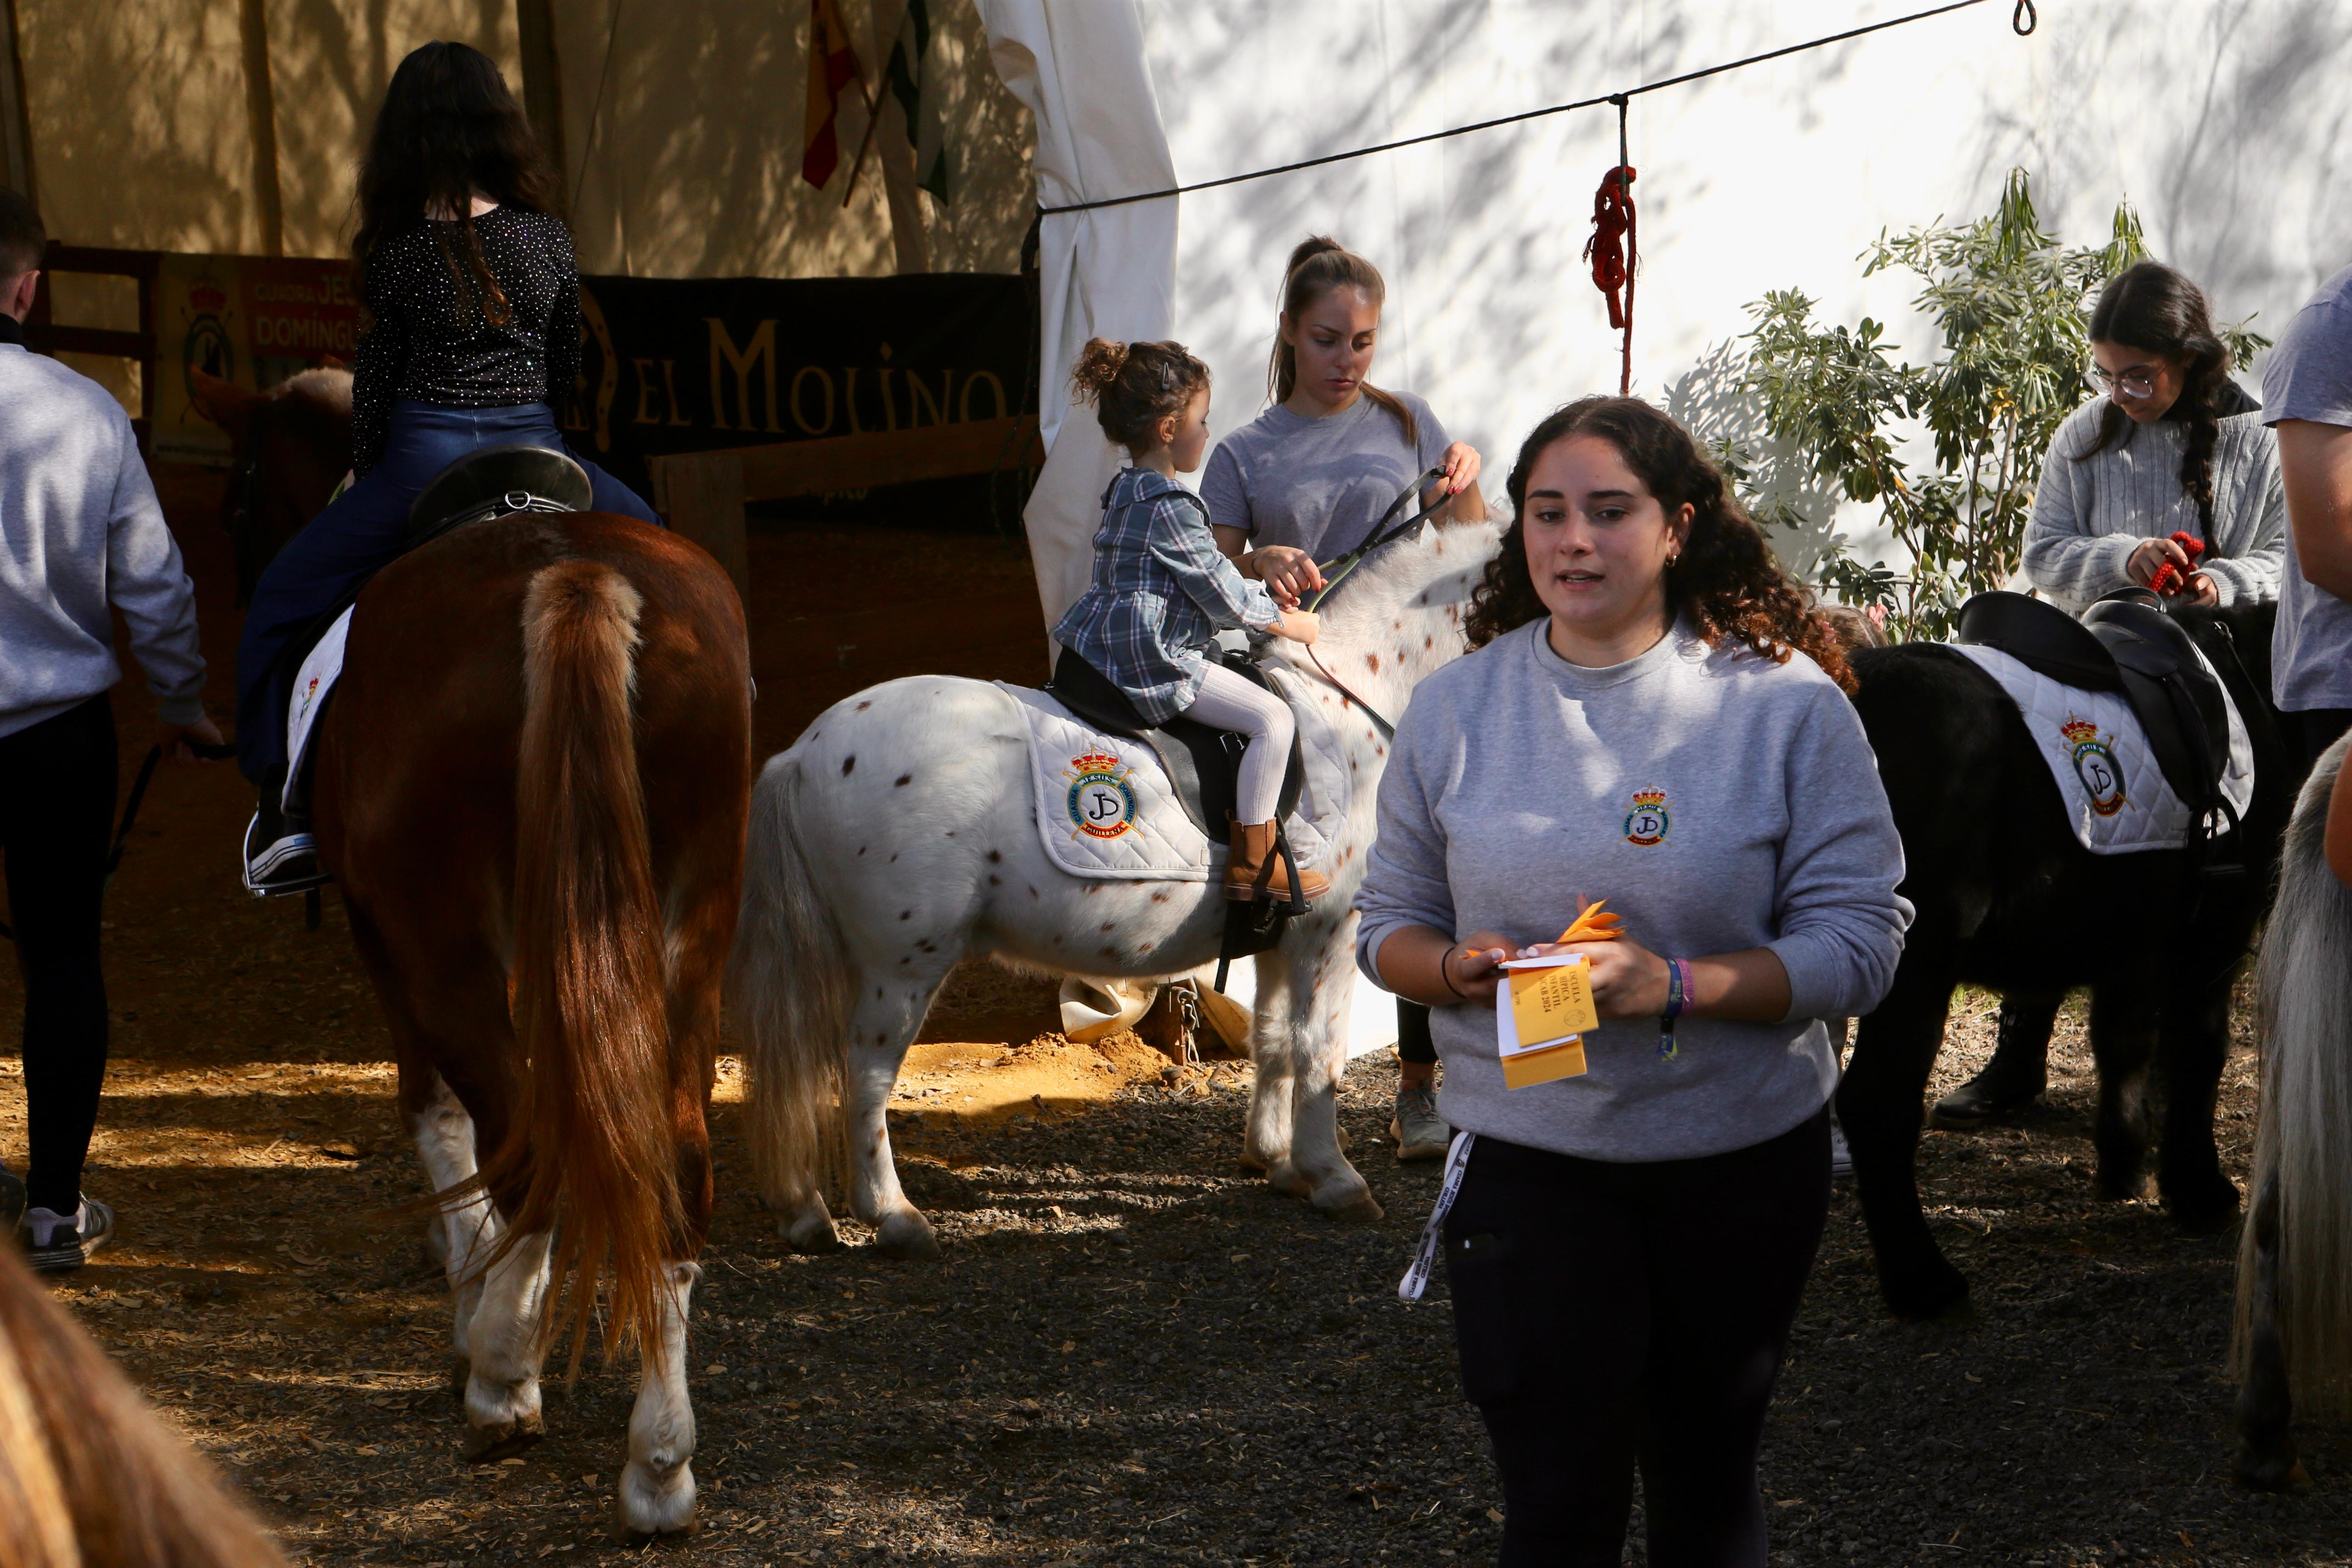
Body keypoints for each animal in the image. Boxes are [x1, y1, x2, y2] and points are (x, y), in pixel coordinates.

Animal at [211, 392, 748, 1533]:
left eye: (239, 499)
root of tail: (566, 571)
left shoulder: (384, 932)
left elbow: (434, 1112)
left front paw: (479, 1314)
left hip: (439, 934)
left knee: (523, 1140)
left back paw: (501, 1379)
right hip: (691, 921)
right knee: (673, 1161)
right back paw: (660, 1465)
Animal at [734, 522, 1505, 1260]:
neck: (1345, 706)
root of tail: (802, 754)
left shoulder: (1279, 939)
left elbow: (1273, 1040)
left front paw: (1278, 1160)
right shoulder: (1332, 934)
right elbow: (1317, 1049)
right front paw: (1334, 1177)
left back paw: (804, 1210)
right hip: (901, 964)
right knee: (863, 1077)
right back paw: (893, 1217)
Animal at [1834, 606, 2295, 1316]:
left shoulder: (2131, 940)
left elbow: (2123, 1044)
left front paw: (2125, 1159)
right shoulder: (2210, 939)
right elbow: (2198, 1052)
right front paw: (2197, 1188)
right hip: (1915, 963)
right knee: (1875, 1101)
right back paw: (1923, 1281)